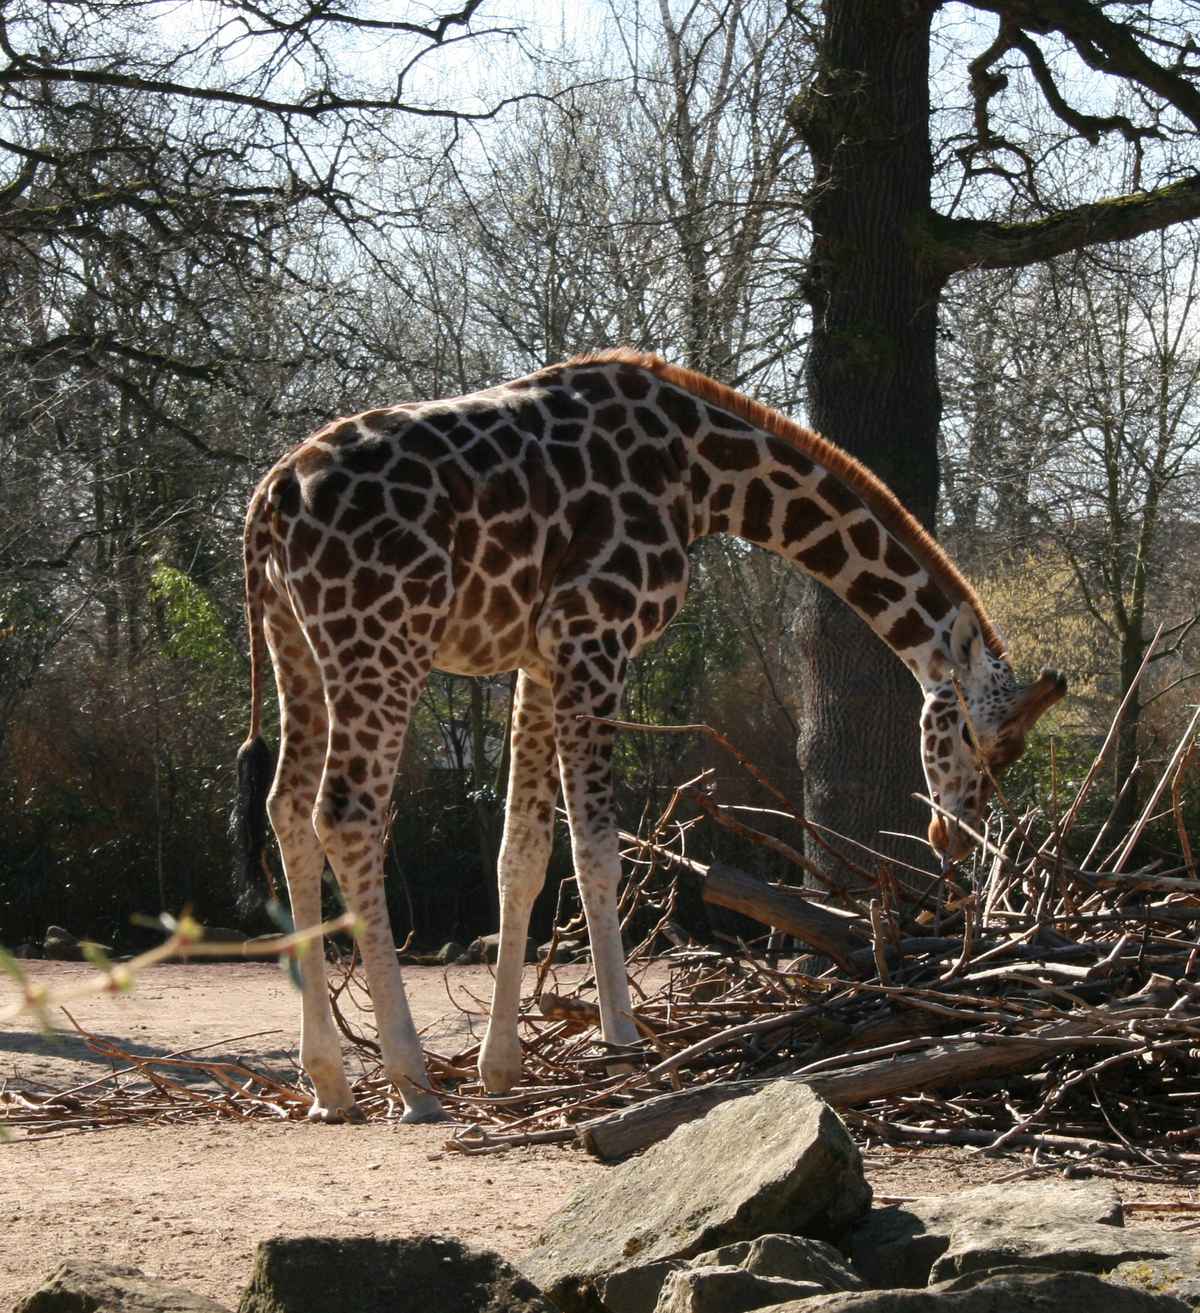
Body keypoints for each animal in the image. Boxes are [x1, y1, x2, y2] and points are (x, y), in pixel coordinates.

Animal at [236, 348, 1066, 1122]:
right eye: (980, 739)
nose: (953, 836)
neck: (705, 475)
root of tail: (269, 502)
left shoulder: (540, 654)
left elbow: (523, 852)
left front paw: (501, 1068)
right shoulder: (592, 632)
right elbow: (597, 847)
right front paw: (624, 1046)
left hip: (296, 644)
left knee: (287, 808)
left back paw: (331, 1082)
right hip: (382, 640)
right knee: (347, 814)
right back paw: (411, 1081)